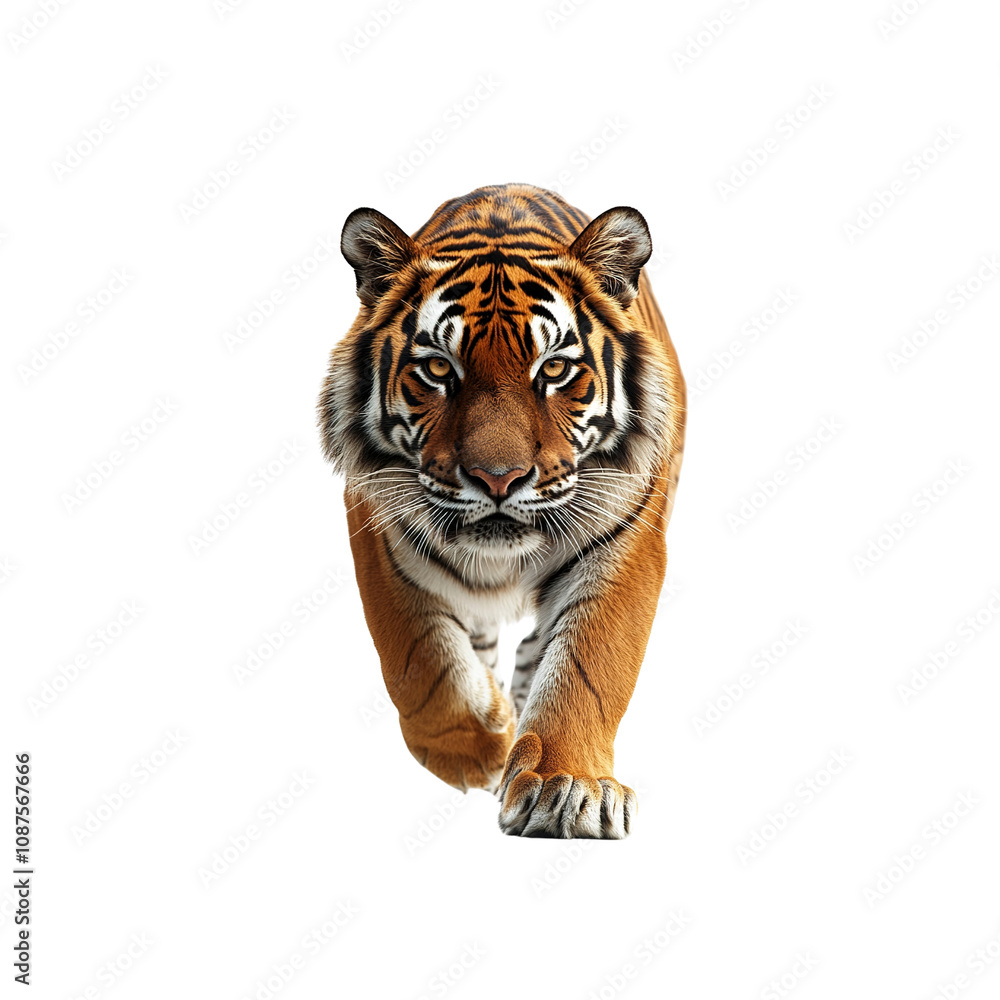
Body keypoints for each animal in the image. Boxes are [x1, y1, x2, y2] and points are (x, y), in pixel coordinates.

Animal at [318, 183, 685, 839]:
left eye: (555, 369)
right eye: (439, 368)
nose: (498, 478)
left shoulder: (628, 533)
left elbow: (590, 664)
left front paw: (569, 787)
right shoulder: (378, 524)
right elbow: (421, 659)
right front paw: (483, 746)